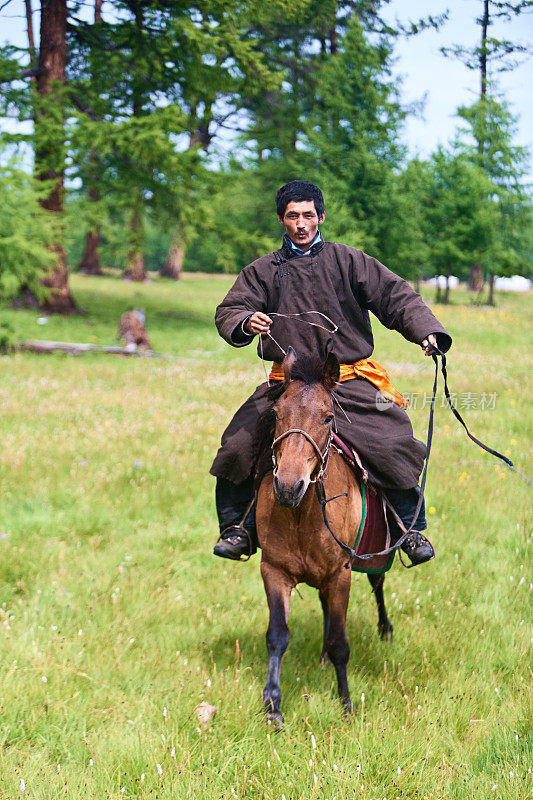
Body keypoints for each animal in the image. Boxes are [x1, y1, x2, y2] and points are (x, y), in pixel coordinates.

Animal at [256, 346, 392, 728]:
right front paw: (273, 705)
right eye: (276, 413)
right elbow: (277, 636)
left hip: (374, 554)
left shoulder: (340, 574)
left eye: (329, 417)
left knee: (377, 584)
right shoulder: (274, 571)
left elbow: (341, 643)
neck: (301, 513)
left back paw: (385, 629)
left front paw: (346, 702)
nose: (288, 486)